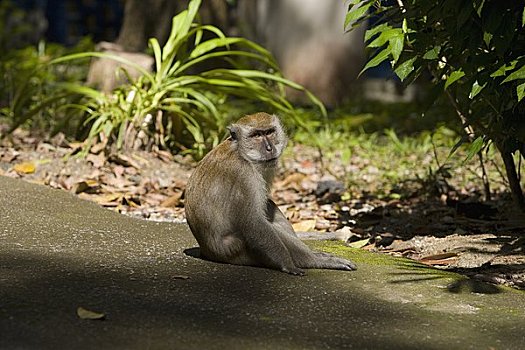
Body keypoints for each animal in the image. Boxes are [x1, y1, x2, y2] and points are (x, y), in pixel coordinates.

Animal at [185, 113, 356, 274]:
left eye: (269, 132)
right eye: (256, 135)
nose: (269, 148)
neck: (241, 153)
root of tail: (207, 252)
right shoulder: (244, 176)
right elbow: (254, 223)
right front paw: (290, 264)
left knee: (269, 205)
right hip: (235, 250)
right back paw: (312, 259)